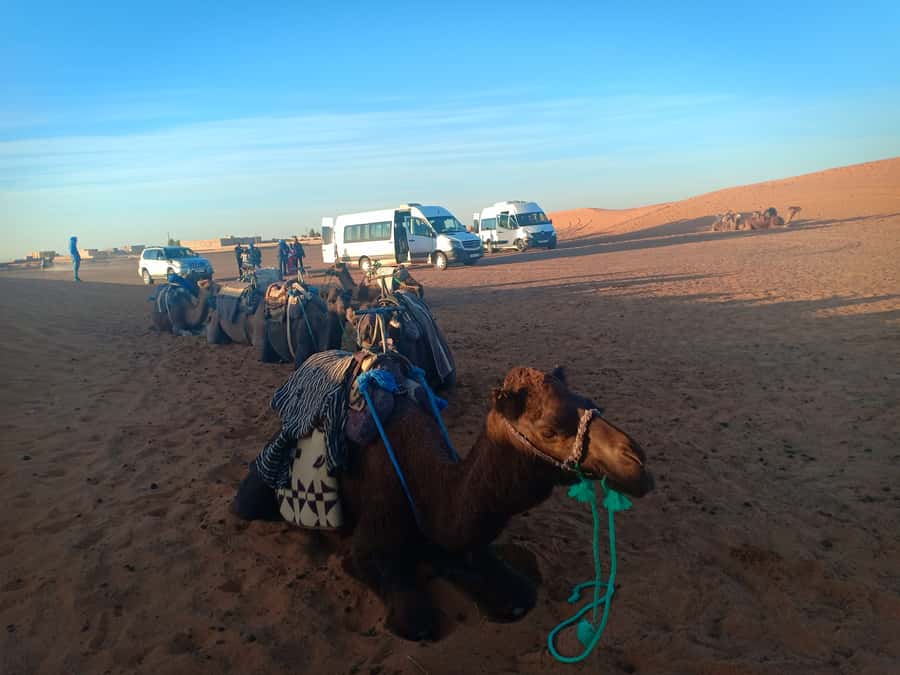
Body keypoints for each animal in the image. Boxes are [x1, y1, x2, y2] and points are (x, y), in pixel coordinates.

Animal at [235, 365, 653, 641]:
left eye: (591, 403)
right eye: (550, 429)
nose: (638, 462)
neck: (427, 486)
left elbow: (520, 593)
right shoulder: (369, 544)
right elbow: (416, 620)